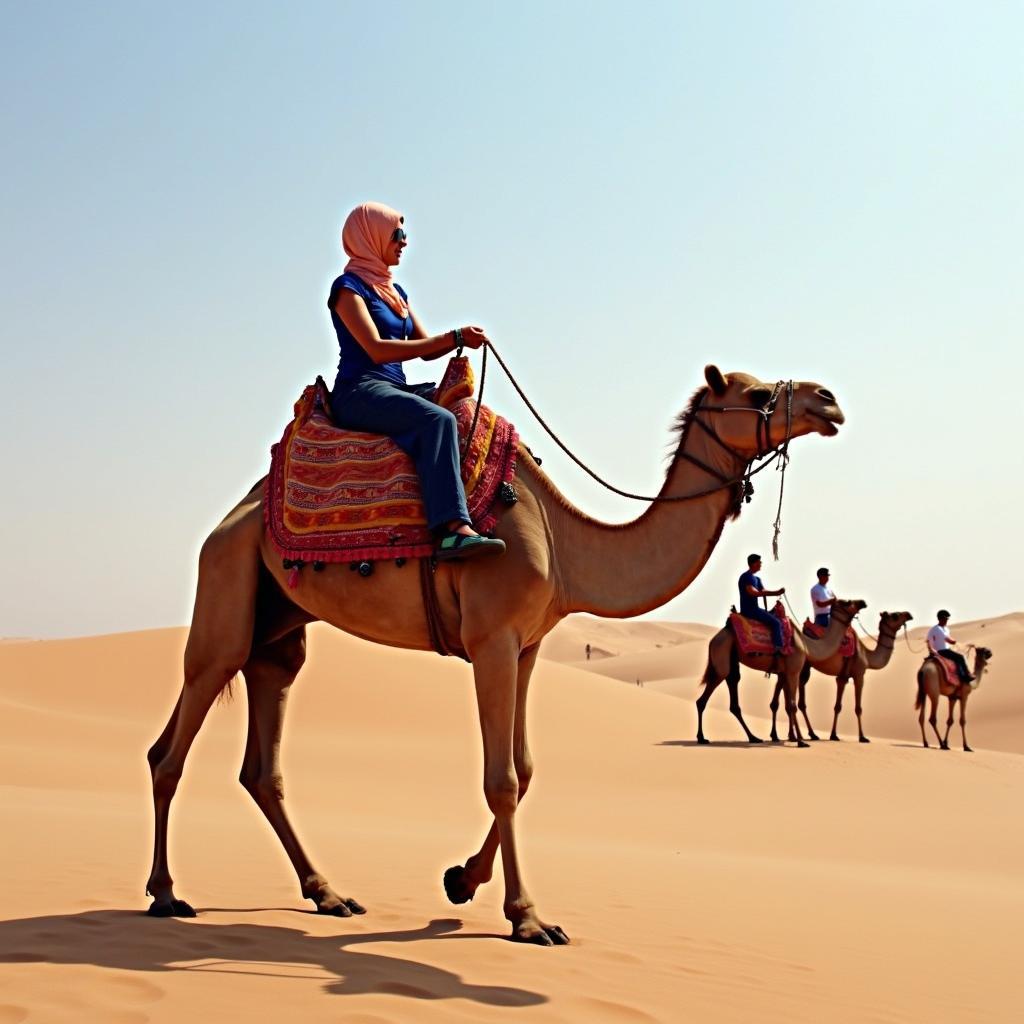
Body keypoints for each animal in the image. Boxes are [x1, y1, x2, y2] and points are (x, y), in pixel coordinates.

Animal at [146, 366, 847, 942]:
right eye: (756, 395)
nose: (829, 400)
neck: (566, 548)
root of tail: (229, 520)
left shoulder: (528, 645)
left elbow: (526, 768)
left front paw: (461, 880)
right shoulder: (492, 640)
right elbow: (502, 779)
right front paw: (529, 918)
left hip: (278, 629)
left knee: (260, 757)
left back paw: (329, 894)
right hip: (226, 583)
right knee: (173, 744)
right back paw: (166, 894)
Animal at [692, 598, 868, 749]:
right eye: (847, 602)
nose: (863, 602)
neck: (807, 644)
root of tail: (713, 640)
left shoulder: (786, 672)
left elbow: (789, 705)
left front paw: (795, 738)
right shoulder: (793, 671)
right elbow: (792, 705)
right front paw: (801, 741)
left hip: (731, 660)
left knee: (733, 698)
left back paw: (753, 737)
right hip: (721, 657)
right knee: (702, 700)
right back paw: (702, 738)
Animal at [770, 606, 917, 745]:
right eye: (895, 615)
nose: (909, 615)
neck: (867, 657)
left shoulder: (842, 677)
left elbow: (837, 706)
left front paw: (834, 735)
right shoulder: (859, 674)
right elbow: (858, 708)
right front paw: (862, 737)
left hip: (800, 667)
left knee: (792, 697)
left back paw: (796, 735)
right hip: (800, 665)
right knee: (793, 698)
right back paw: (795, 735)